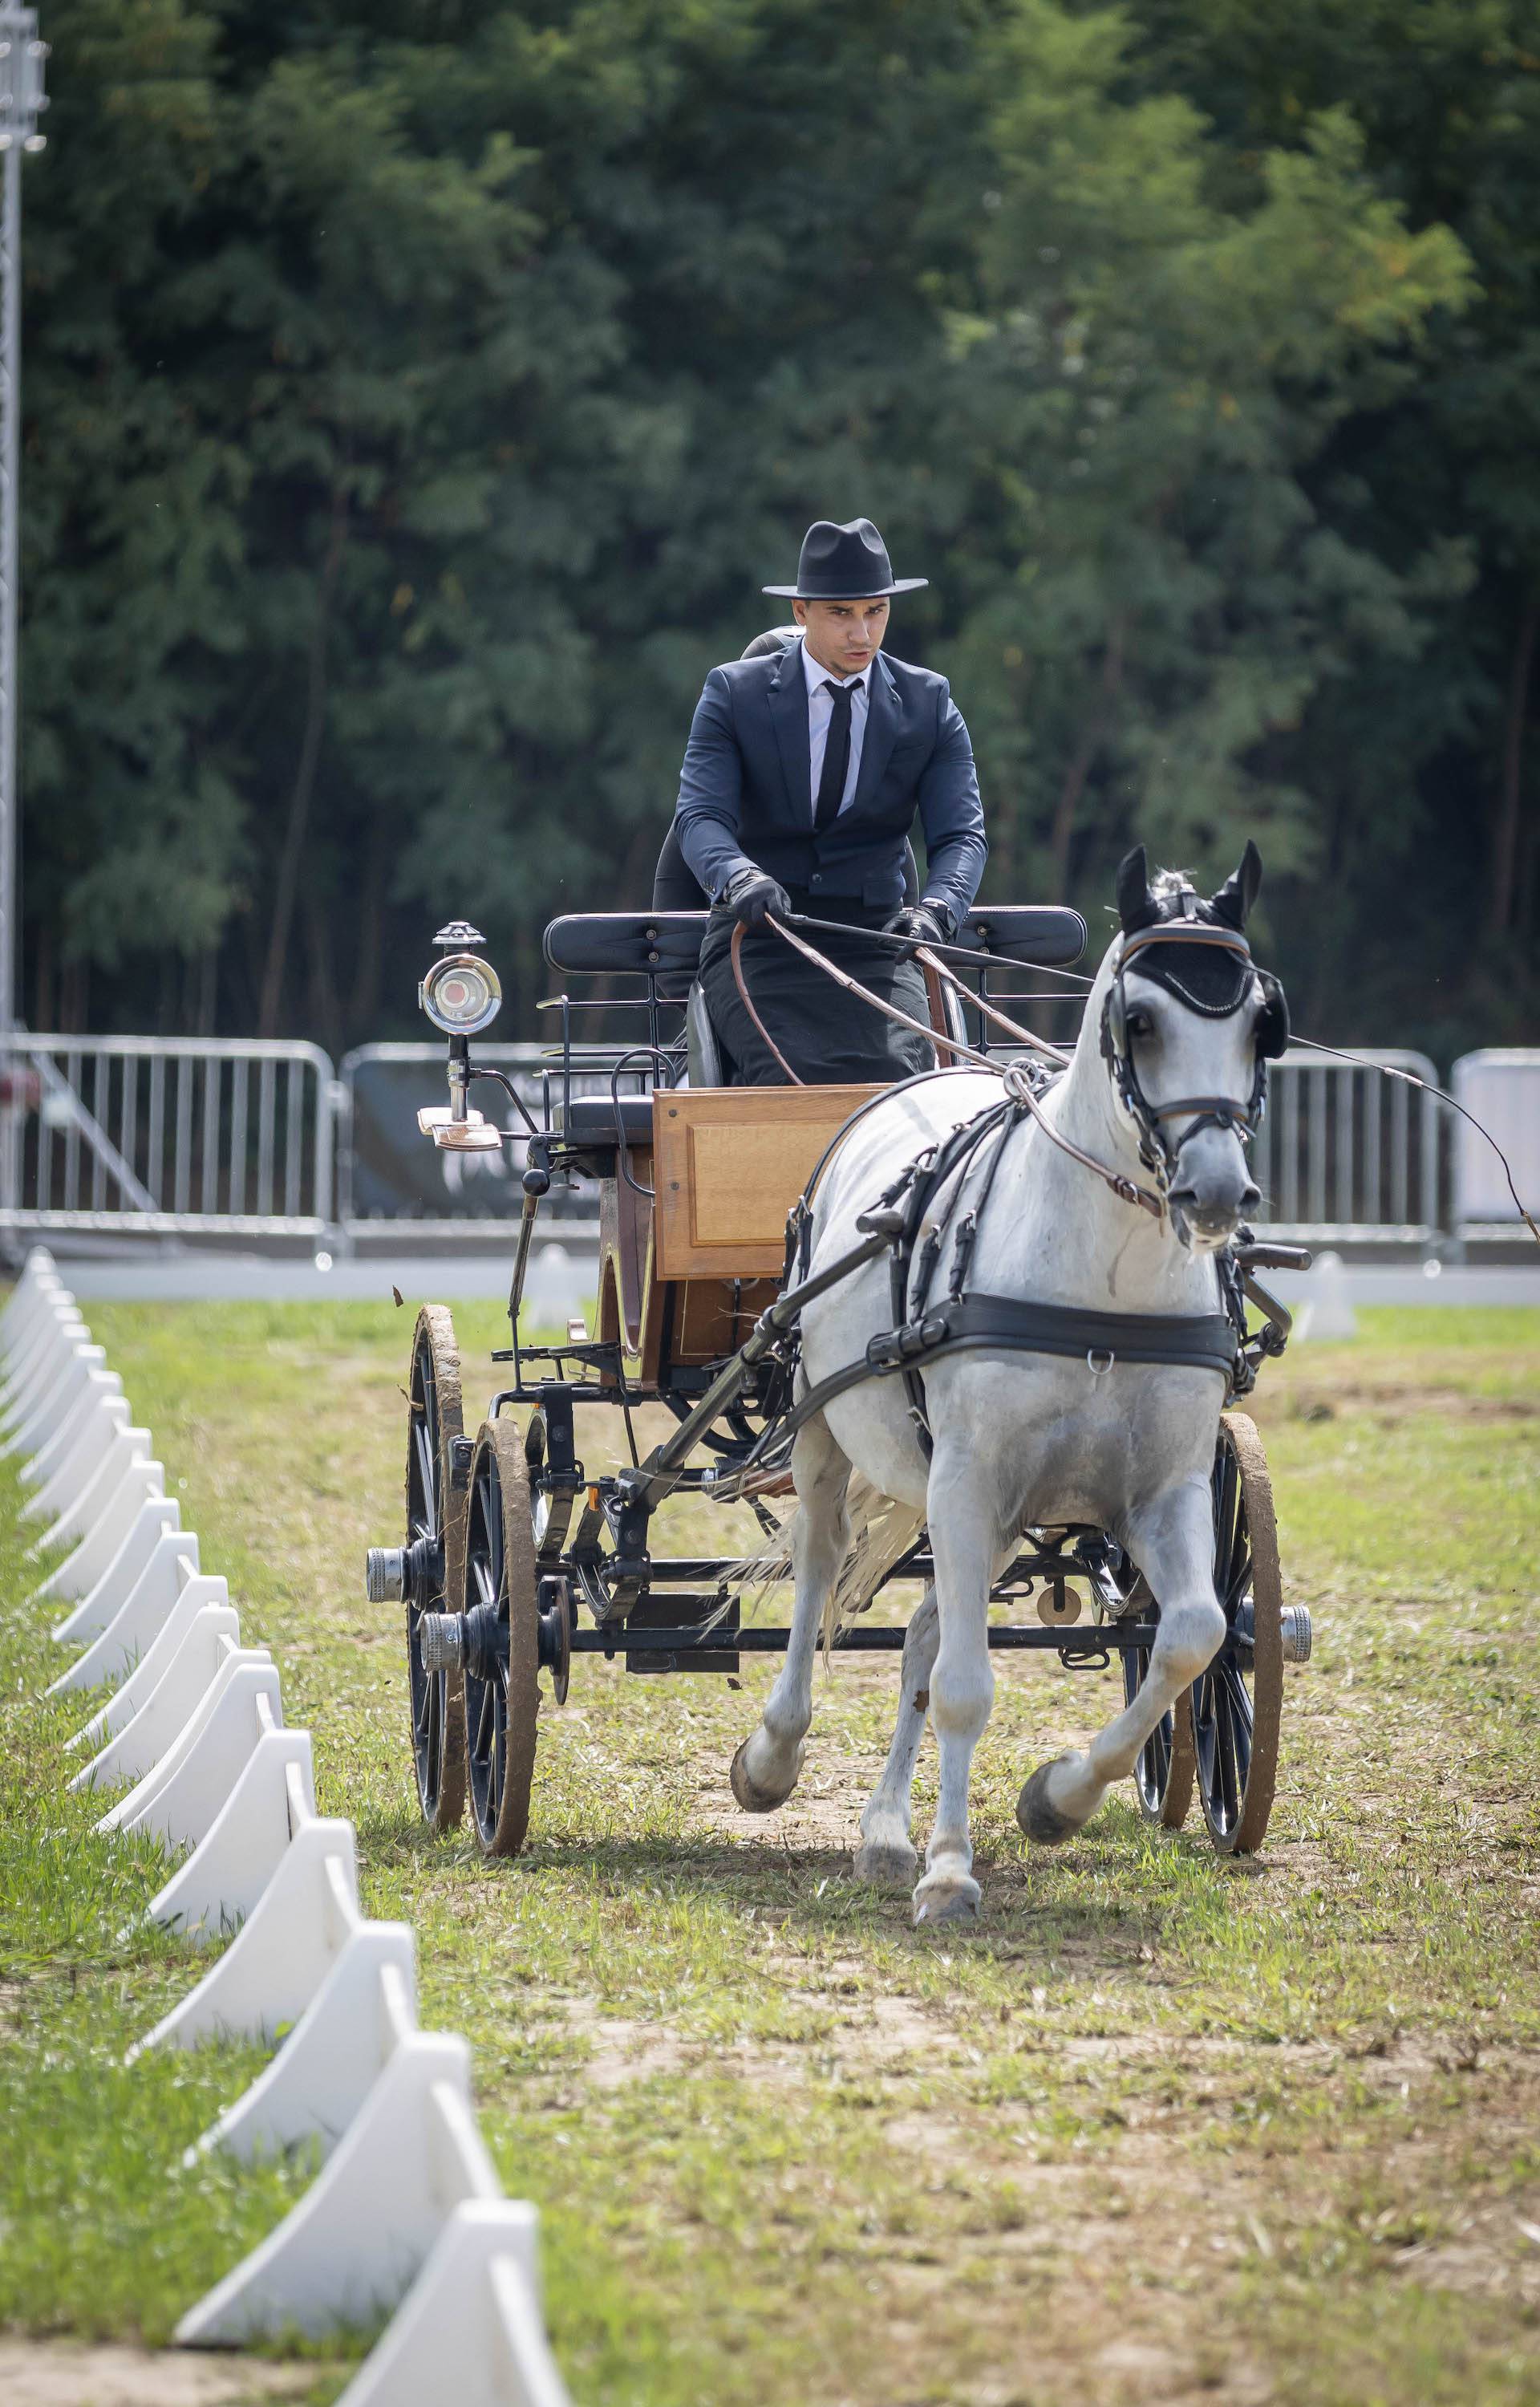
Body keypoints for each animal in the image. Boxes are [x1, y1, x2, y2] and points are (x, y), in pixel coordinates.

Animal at [727, 847, 1280, 1916]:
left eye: (1259, 1023)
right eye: (1139, 1022)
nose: (1219, 1193)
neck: (1104, 1284)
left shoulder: (1165, 1490)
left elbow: (1193, 1634)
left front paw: (1055, 1800)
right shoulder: (970, 1477)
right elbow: (967, 1687)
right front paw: (950, 1871)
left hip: (978, 1500)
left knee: (925, 1634)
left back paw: (885, 1833)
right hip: (837, 1435)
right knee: (820, 1573)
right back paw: (775, 1759)